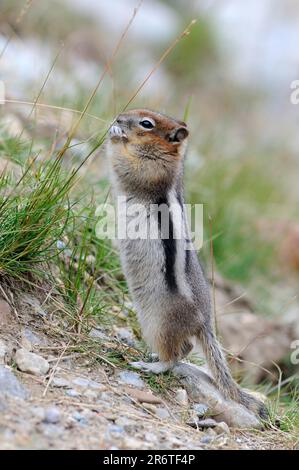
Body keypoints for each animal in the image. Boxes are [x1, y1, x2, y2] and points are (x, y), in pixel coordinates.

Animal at [106, 109, 268, 418]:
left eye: (147, 123)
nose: (118, 117)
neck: (168, 157)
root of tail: (203, 321)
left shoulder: (151, 171)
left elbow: (127, 165)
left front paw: (115, 136)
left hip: (160, 324)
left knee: (174, 355)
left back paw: (151, 365)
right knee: (184, 349)